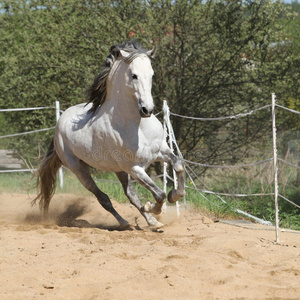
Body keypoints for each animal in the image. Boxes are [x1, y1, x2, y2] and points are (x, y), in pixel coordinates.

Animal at [33, 39, 185, 227]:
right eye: (134, 75)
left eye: (152, 75)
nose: (147, 109)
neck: (137, 127)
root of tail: (60, 122)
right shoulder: (134, 167)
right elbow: (159, 194)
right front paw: (152, 207)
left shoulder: (160, 151)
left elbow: (178, 165)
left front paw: (175, 195)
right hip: (79, 168)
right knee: (103, 198)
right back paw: (126, 222)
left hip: (118, 169)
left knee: (130, 194)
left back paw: (151, 222)